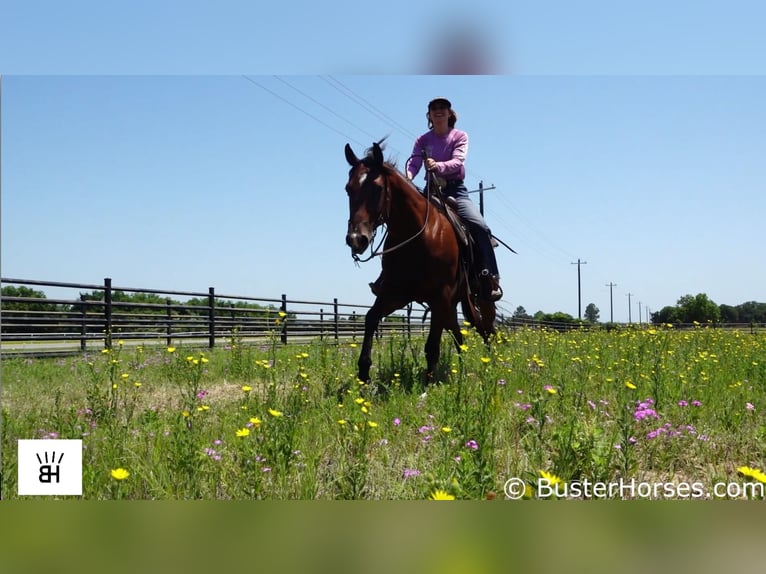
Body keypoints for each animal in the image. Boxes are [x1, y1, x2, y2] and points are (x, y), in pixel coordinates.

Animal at [344, 141, 498, 384]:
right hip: (450, 306)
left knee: (487, 330)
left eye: (377, 188)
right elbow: (370, 318)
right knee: (460, 336)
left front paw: (428, 384)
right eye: (348, 189)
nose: (356, 239)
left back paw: (489, 364)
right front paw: (363, 374)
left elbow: (432, 346)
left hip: (479, 300)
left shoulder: (439, 296)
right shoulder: (395, 294)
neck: (419, 235)